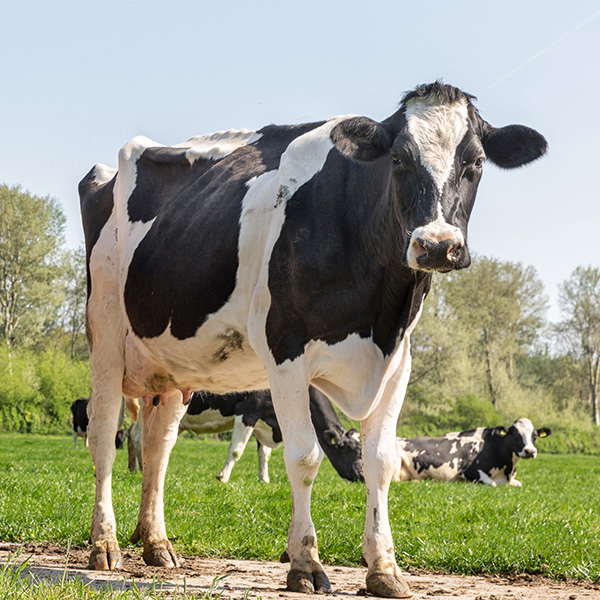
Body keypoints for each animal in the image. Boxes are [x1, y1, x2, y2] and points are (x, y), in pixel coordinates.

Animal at [394, 418, 552, 488]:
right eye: (515, 434)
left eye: (535, 436)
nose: (530, 451)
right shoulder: (469, 471)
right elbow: (492, 484)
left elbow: (519, 484)